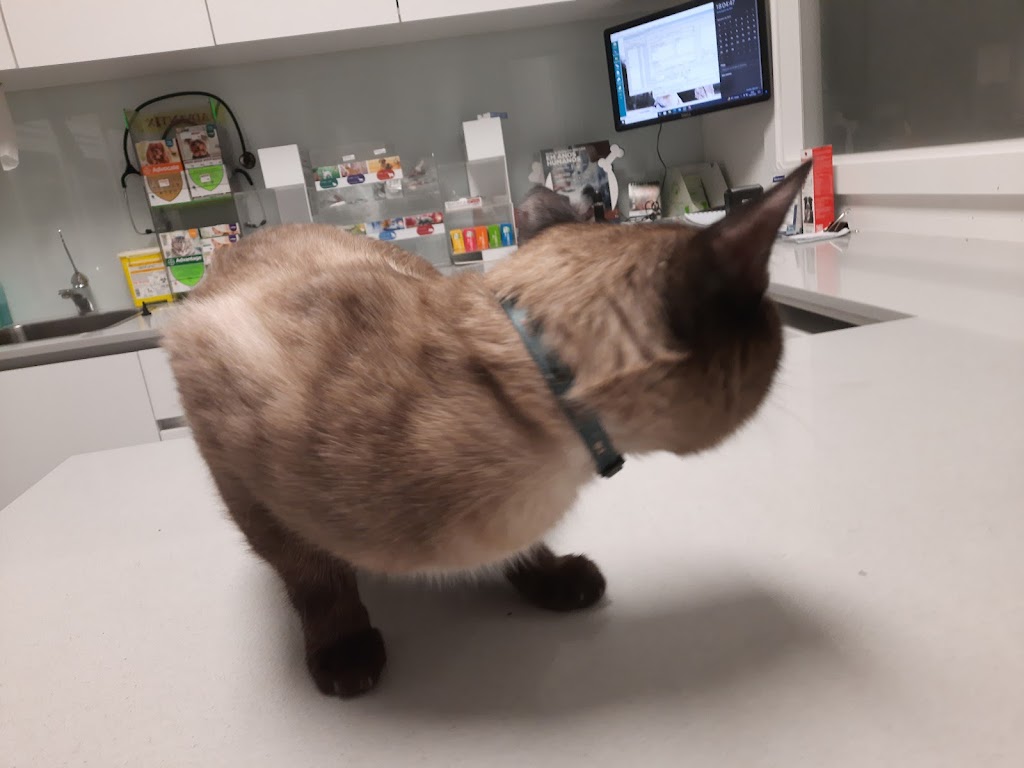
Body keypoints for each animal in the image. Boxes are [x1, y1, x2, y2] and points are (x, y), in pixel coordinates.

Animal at [163, 163, 810, 698]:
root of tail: (258, 234)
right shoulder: (239, 470)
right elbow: (316, 578)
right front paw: (346, 654)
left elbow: (529, 551)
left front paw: (553, 580)